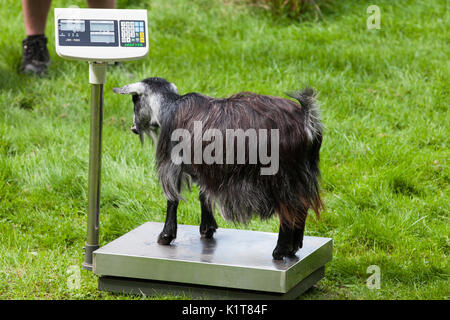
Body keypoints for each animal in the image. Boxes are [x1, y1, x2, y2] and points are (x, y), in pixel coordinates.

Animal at [113, 77, 324, 260]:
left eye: (134, 99)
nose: (133, 128)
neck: (170, 107)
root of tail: (306, 120)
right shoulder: (203, 167)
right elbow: (204, 195)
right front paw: (207, 229)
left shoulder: (170, 163)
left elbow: (172, 199)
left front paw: (165, 236)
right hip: (302, 171)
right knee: (302, 205)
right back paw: (294, 248)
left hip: (280, 174)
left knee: (289, 208)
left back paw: (280, 250)